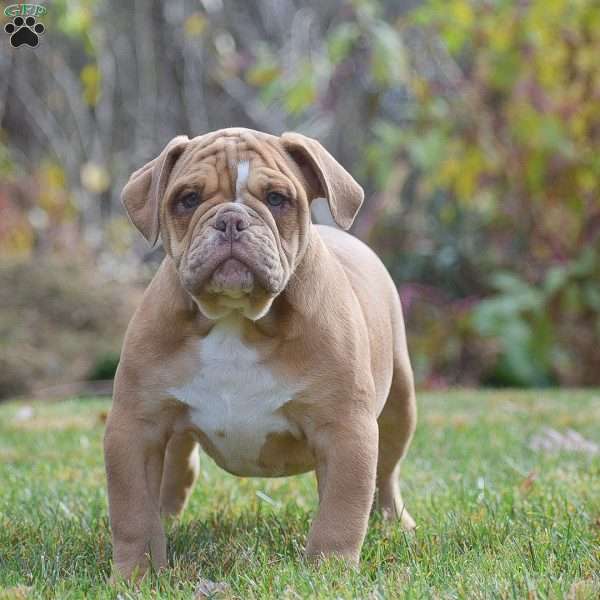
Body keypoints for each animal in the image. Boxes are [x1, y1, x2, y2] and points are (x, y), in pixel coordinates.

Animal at [105, 127, 418, 580]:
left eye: (276, 199)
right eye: (188, 199)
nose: (231, 219)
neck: (237, 319)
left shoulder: (345, 429)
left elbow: (341, 511)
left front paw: (329, 573)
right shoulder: (135, 426)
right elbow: (133, 513)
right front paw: (136, 576)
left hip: (400, 405)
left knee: (386, 472)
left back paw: (395, 521)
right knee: (177, 466)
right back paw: (167, 515)